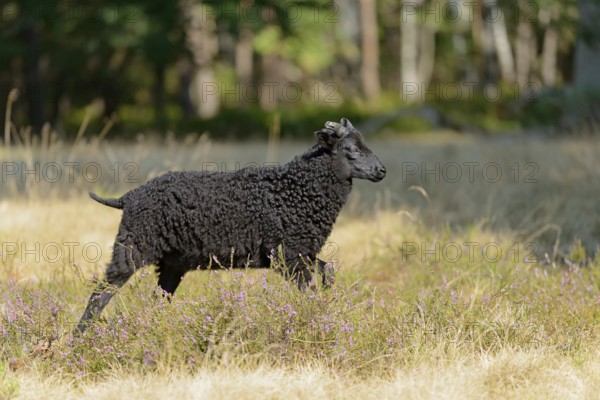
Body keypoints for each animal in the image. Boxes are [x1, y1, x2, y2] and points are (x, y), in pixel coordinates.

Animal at [76, 118, 384, 332]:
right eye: (352, 149)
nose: (382, 171)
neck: (296, 189)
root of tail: (129, 197)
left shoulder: (302, 253)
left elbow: (327, 271)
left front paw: (327, 300)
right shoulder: (287, 256)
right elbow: (309, 291)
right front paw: (317, 319)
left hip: (171, 265)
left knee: (157, 300)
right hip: (130, 251)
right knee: (99, 294)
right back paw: (78, 341)